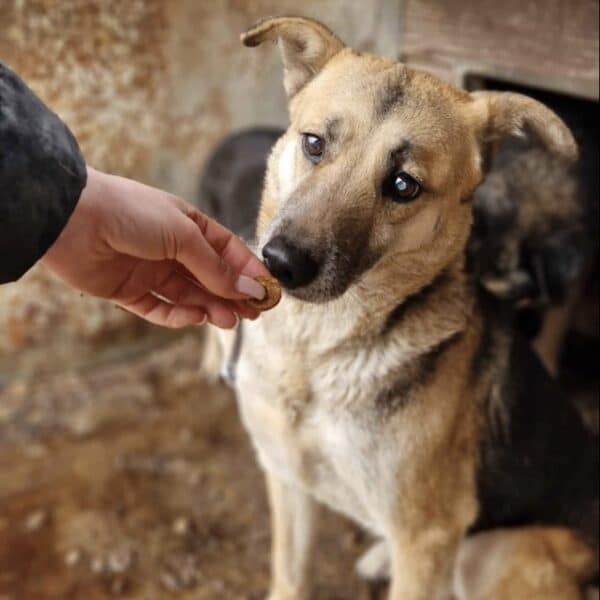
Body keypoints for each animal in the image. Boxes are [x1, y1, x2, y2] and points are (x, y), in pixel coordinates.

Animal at [207, 16, 596, 596]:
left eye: (402, 184)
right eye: (314, 143)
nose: (281, 262)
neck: (314, 355)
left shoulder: (425, 535)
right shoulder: (287, 478)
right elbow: (289, 577)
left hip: (496, 558)